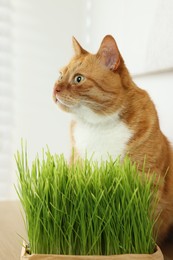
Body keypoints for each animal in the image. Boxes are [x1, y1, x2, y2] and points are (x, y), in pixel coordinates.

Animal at [52, 34, 173, 244]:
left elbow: (146, 222)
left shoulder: (146, 178)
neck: (98, 125)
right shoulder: (78, 169)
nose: (55, 89)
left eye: (78, 78)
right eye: (60, 75)